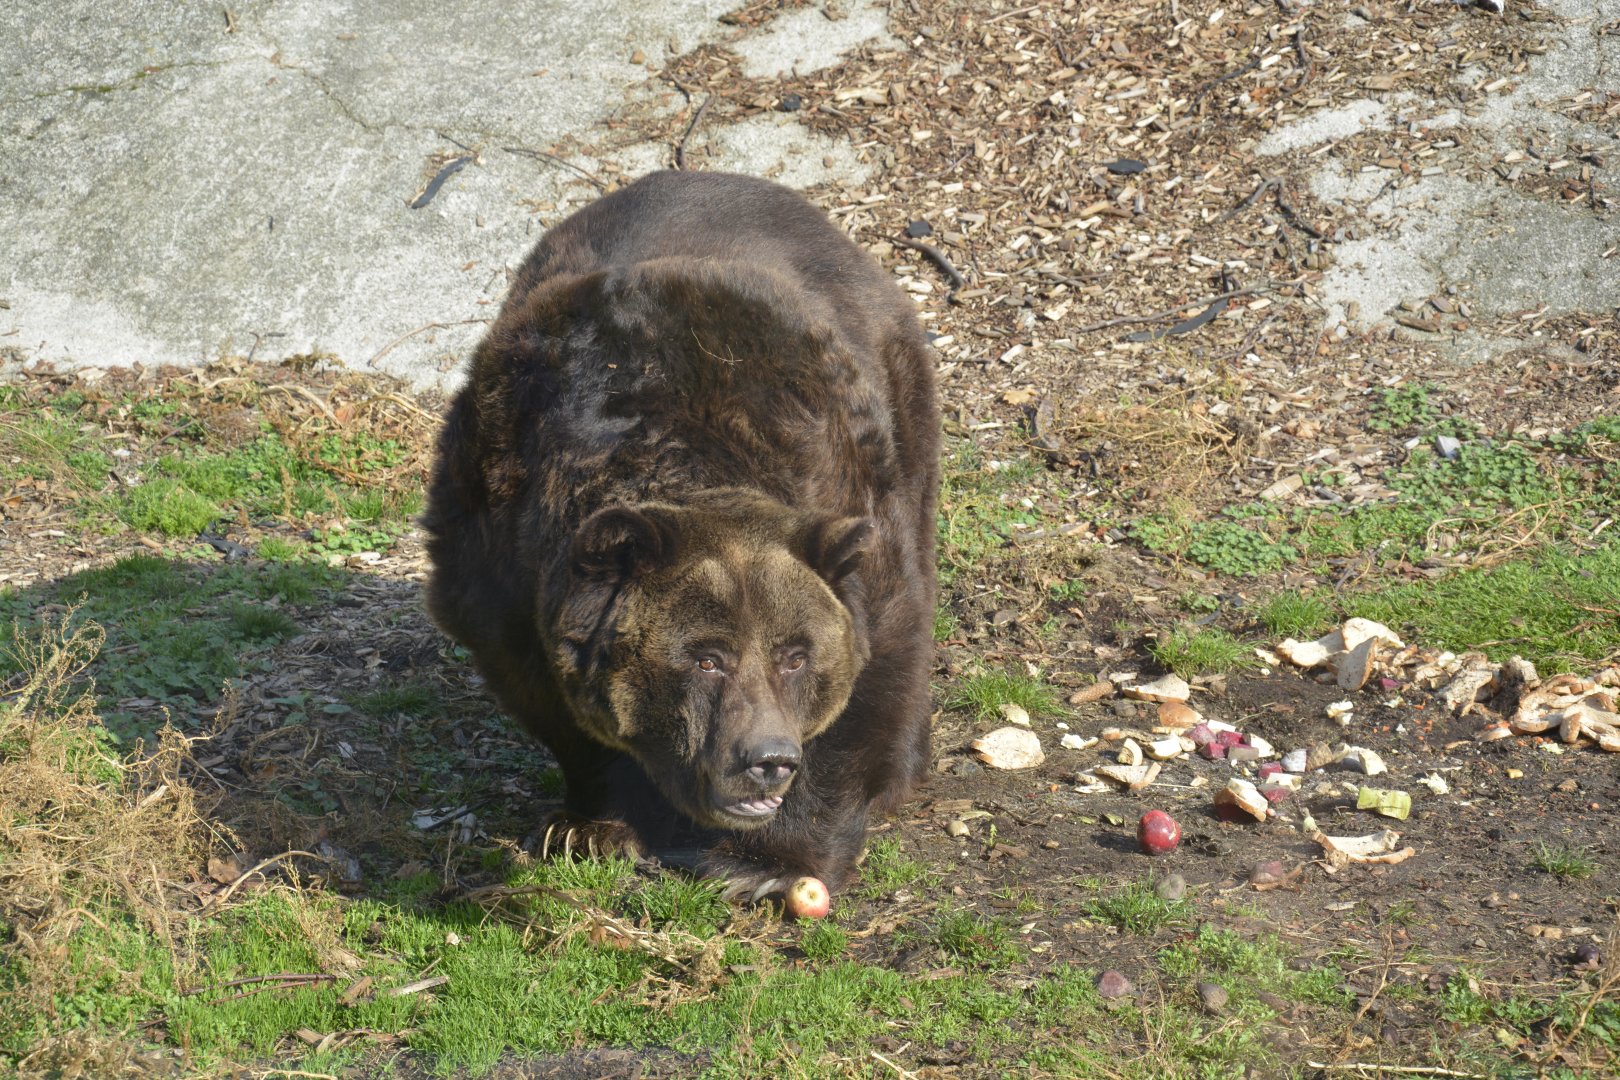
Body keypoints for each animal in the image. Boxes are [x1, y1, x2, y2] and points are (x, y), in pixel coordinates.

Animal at [422, 170, 940, 899]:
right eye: (706, 657)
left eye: (795, 655)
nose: (766, 760)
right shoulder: (502, 555)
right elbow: (558, 704)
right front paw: (592, 825)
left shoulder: (844, 501)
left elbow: (873, 675)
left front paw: (763, 863)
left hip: (899, 401)